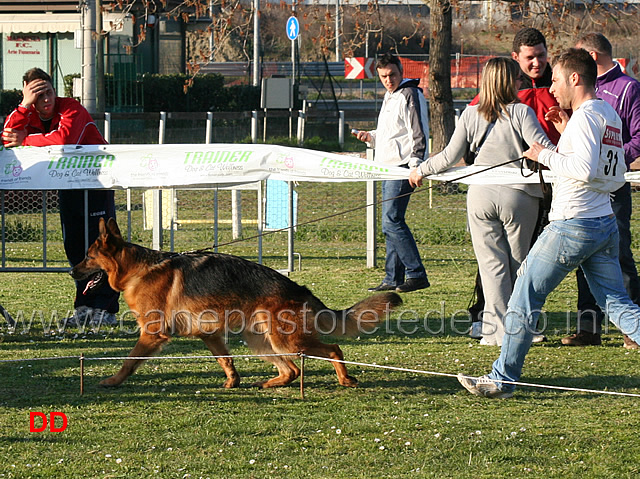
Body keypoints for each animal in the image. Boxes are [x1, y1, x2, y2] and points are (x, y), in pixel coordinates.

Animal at [70, 219, 400, 388]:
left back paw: (344, 379)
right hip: (261, 341)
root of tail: (299, 288)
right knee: (292, 369)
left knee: (333, 349)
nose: (71, 271)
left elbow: (129, 361)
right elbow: (225, 360)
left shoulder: (152, 334)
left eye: (87, 256)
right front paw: (233, 382)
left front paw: (113, 380)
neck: (138, 269)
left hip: (287, 340)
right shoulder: (210, 334)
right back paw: (273, 383)